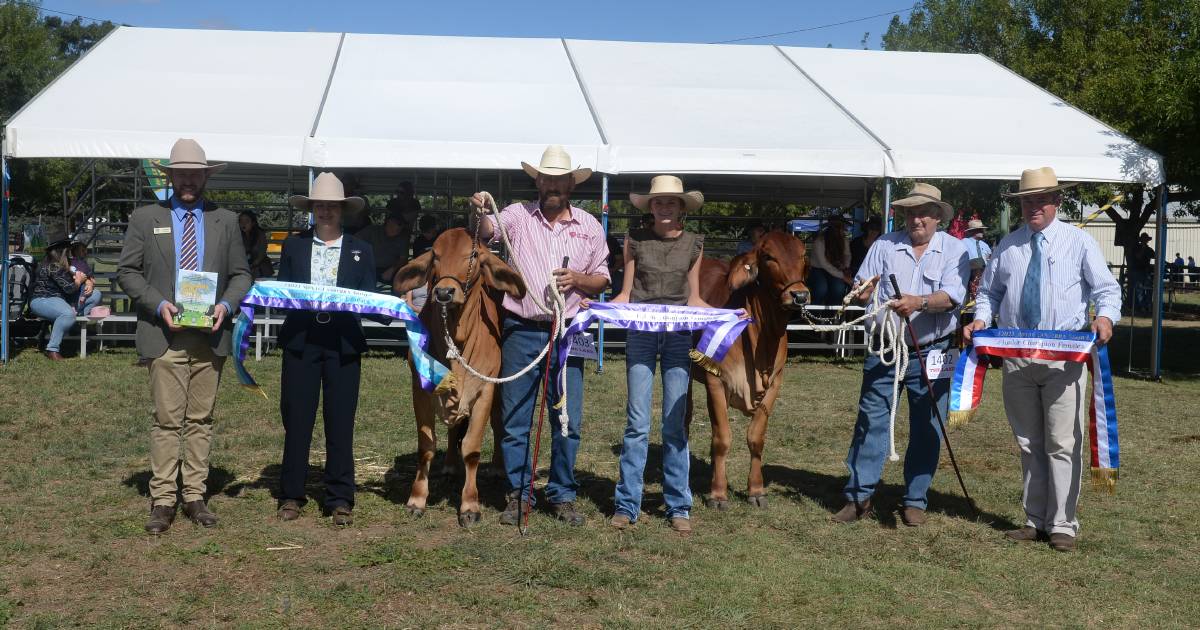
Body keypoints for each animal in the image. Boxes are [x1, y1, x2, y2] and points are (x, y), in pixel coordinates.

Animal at [393, 228, 525, 523]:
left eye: (474, 255)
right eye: (435, 254)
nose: (444, 292)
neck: (457, 336)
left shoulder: (485, 389)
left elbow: (472, 449)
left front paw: (470, 505)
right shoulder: (420, 389)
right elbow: (426, 446)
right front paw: (417, 499)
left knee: (498, 425)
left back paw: (497, 466)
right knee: (454, 430)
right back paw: (451, 466)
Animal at [691, 230, 811, 511]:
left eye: (803, 255)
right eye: (768, 257)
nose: (800, 296)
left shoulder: (775, 382)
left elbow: (756, 437)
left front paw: (756, 490)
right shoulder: (716, 380)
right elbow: (722, 439)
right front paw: (718, 494)